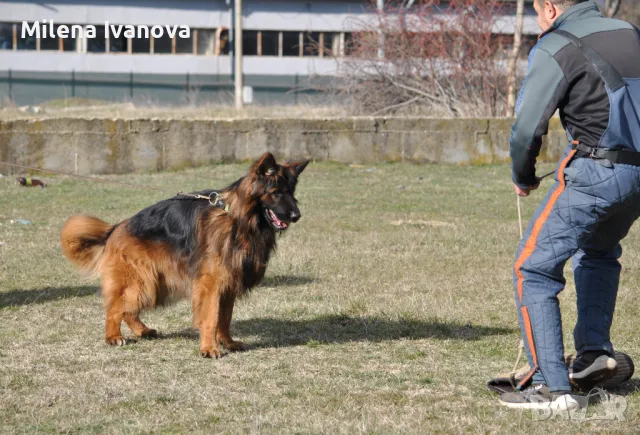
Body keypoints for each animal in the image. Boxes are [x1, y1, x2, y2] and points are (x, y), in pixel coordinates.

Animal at [60, 153, 310, 358]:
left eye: (292, 193)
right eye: (276, 193)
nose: (297, 216)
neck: (238, 219)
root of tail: (116, 227)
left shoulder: (228, 283)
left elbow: (225, 318)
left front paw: (227, 342)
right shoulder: (211, 284)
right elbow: (211, 317)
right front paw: (209, 348)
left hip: (155, 284)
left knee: (127, 309)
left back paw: (143, 330)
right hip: (142, 281)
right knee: (115, 307)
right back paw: (113, 337)